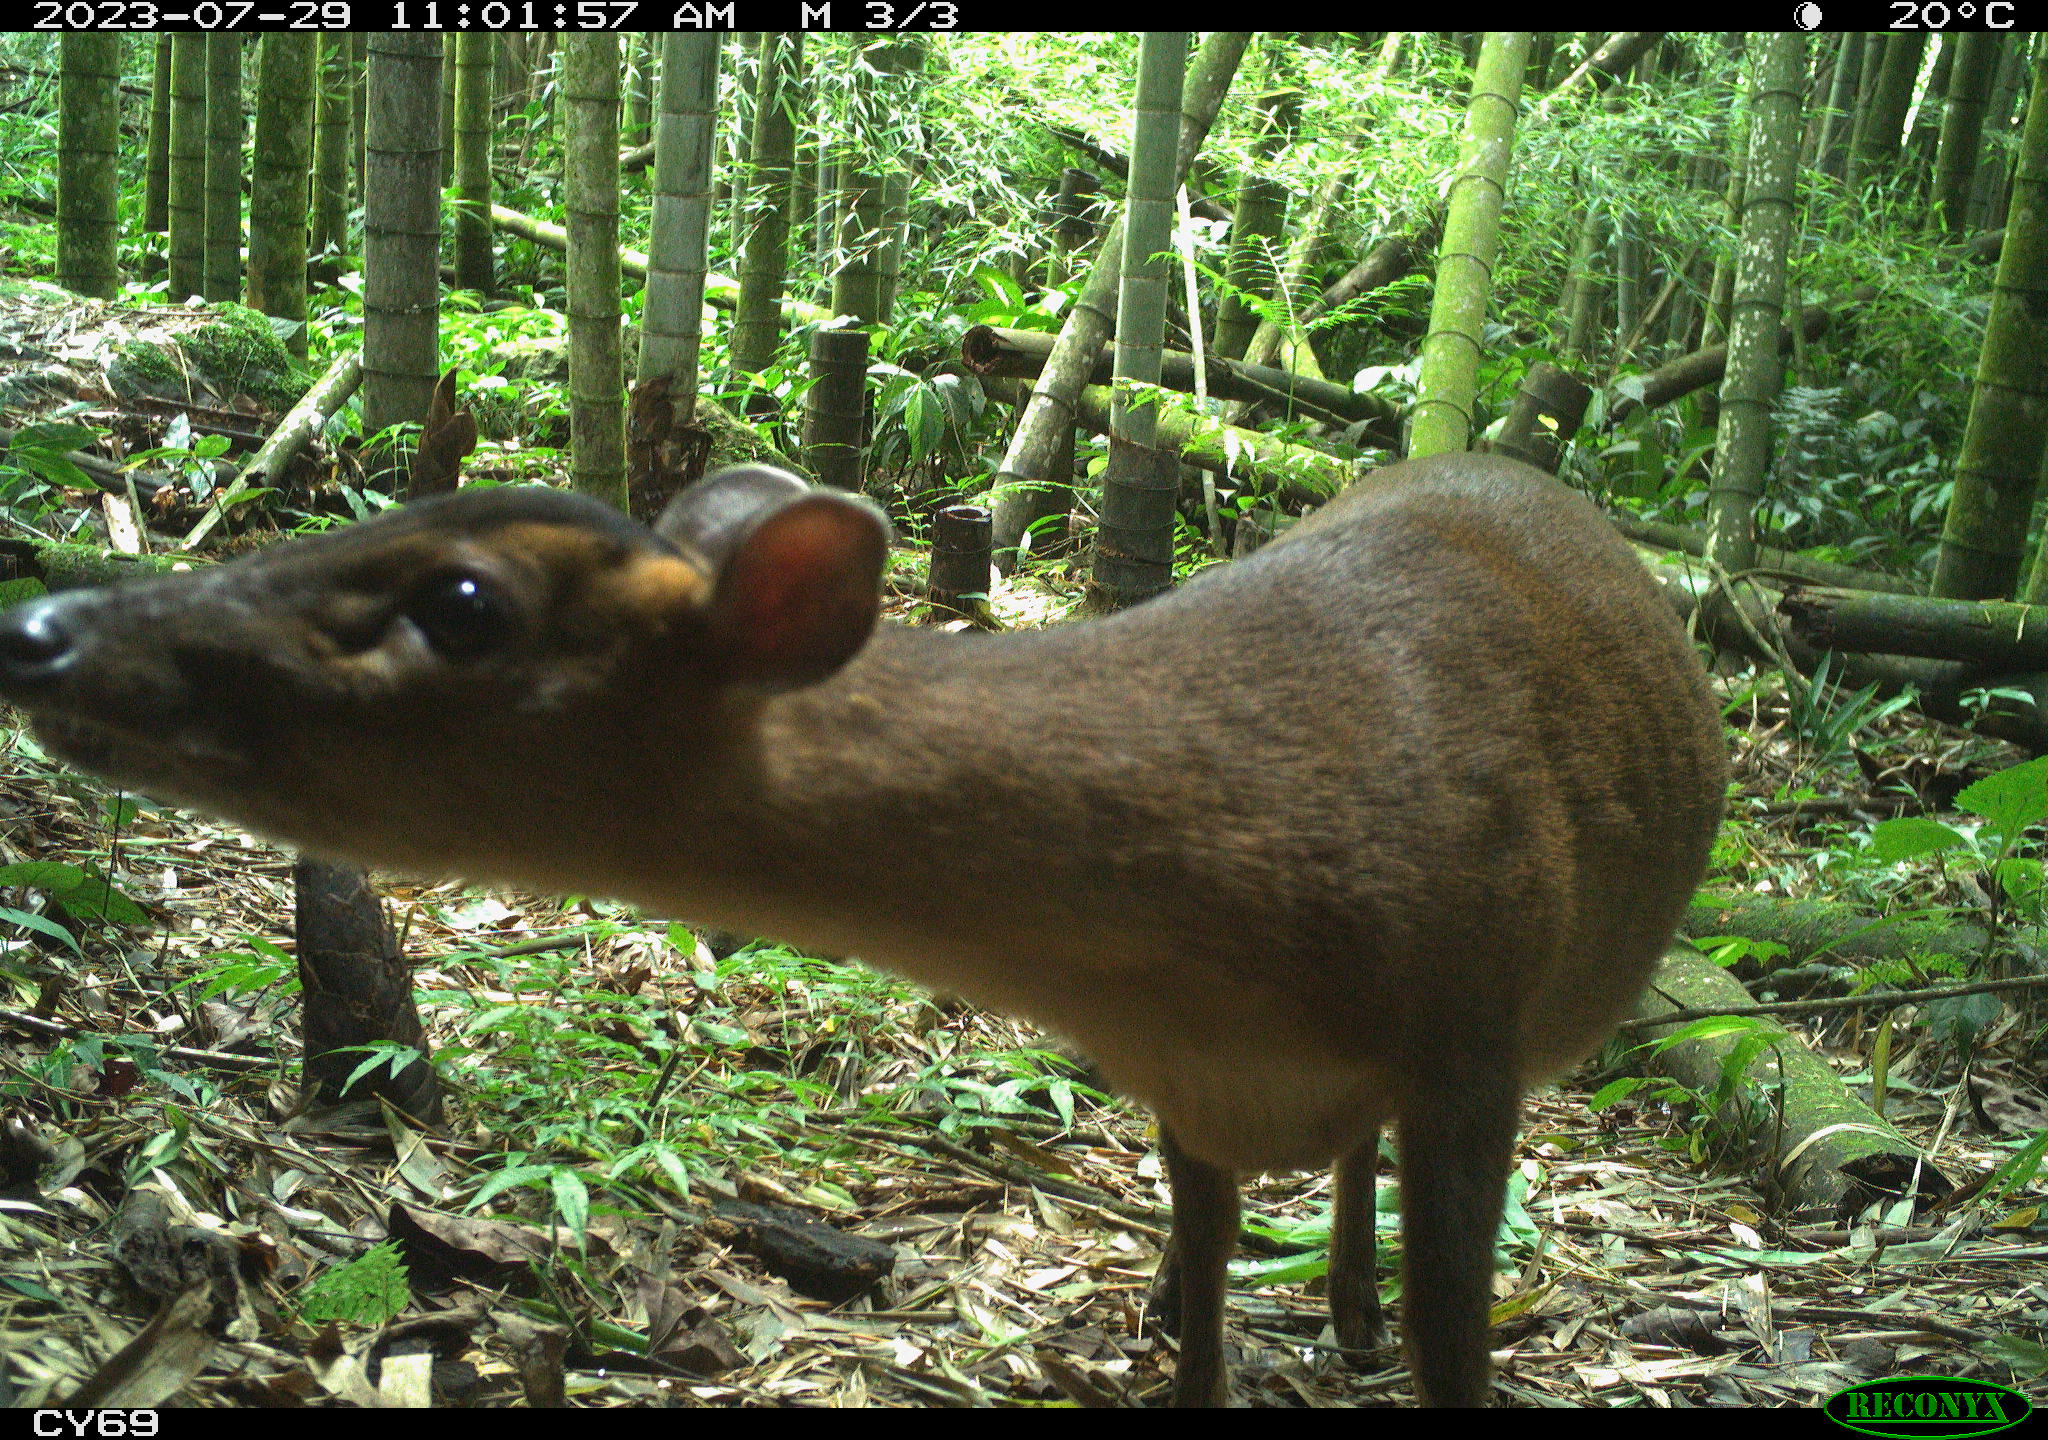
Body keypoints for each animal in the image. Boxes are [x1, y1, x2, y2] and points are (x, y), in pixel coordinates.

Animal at [0, 452, 1728, 1409]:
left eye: (467, 603)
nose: (42, 624)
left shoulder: (1472, 1043)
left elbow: (1455, 1336)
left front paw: (1381, 1329)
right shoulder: (1183, 1084)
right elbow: (1206, 1299)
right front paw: (1188, 1318)